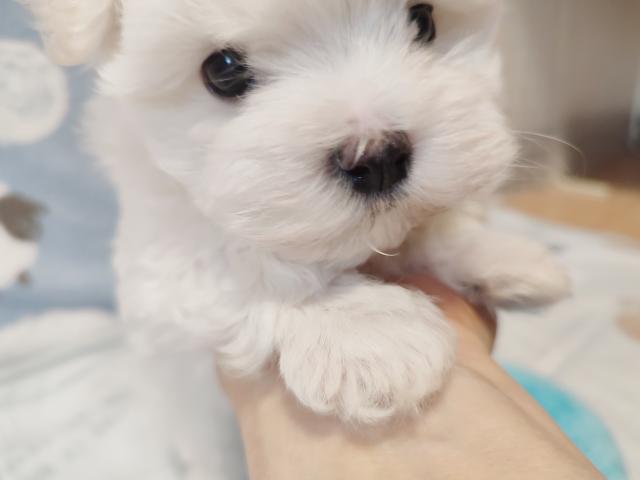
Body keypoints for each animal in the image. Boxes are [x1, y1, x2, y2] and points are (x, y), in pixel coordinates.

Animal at [22, 0, 570, 475]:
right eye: (223, 70)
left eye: (423, 21)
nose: (377, 156)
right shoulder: (157, 258)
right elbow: (231, 254)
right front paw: (366, 332)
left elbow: (431, 223)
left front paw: (498, 254)